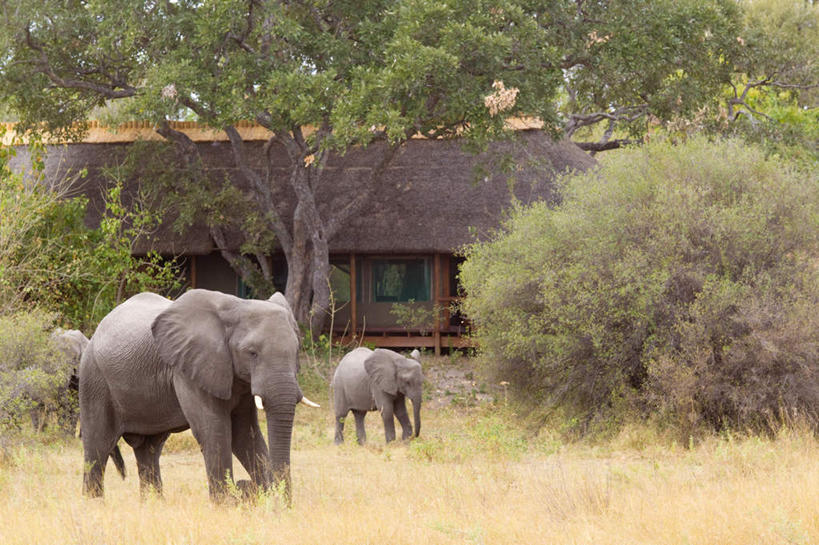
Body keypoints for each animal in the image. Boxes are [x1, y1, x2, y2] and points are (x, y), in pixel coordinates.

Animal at [80, 288, 318, 502]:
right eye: (252, 353)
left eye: (296, 350)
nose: (246, 486)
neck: (237, 305)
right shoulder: (189, 368)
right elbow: (214, 430)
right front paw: (225, 505)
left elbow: (245, 433)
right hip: (94, 379)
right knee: (98, 445)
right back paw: (94, 504)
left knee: (149, 448)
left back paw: (154, 505)